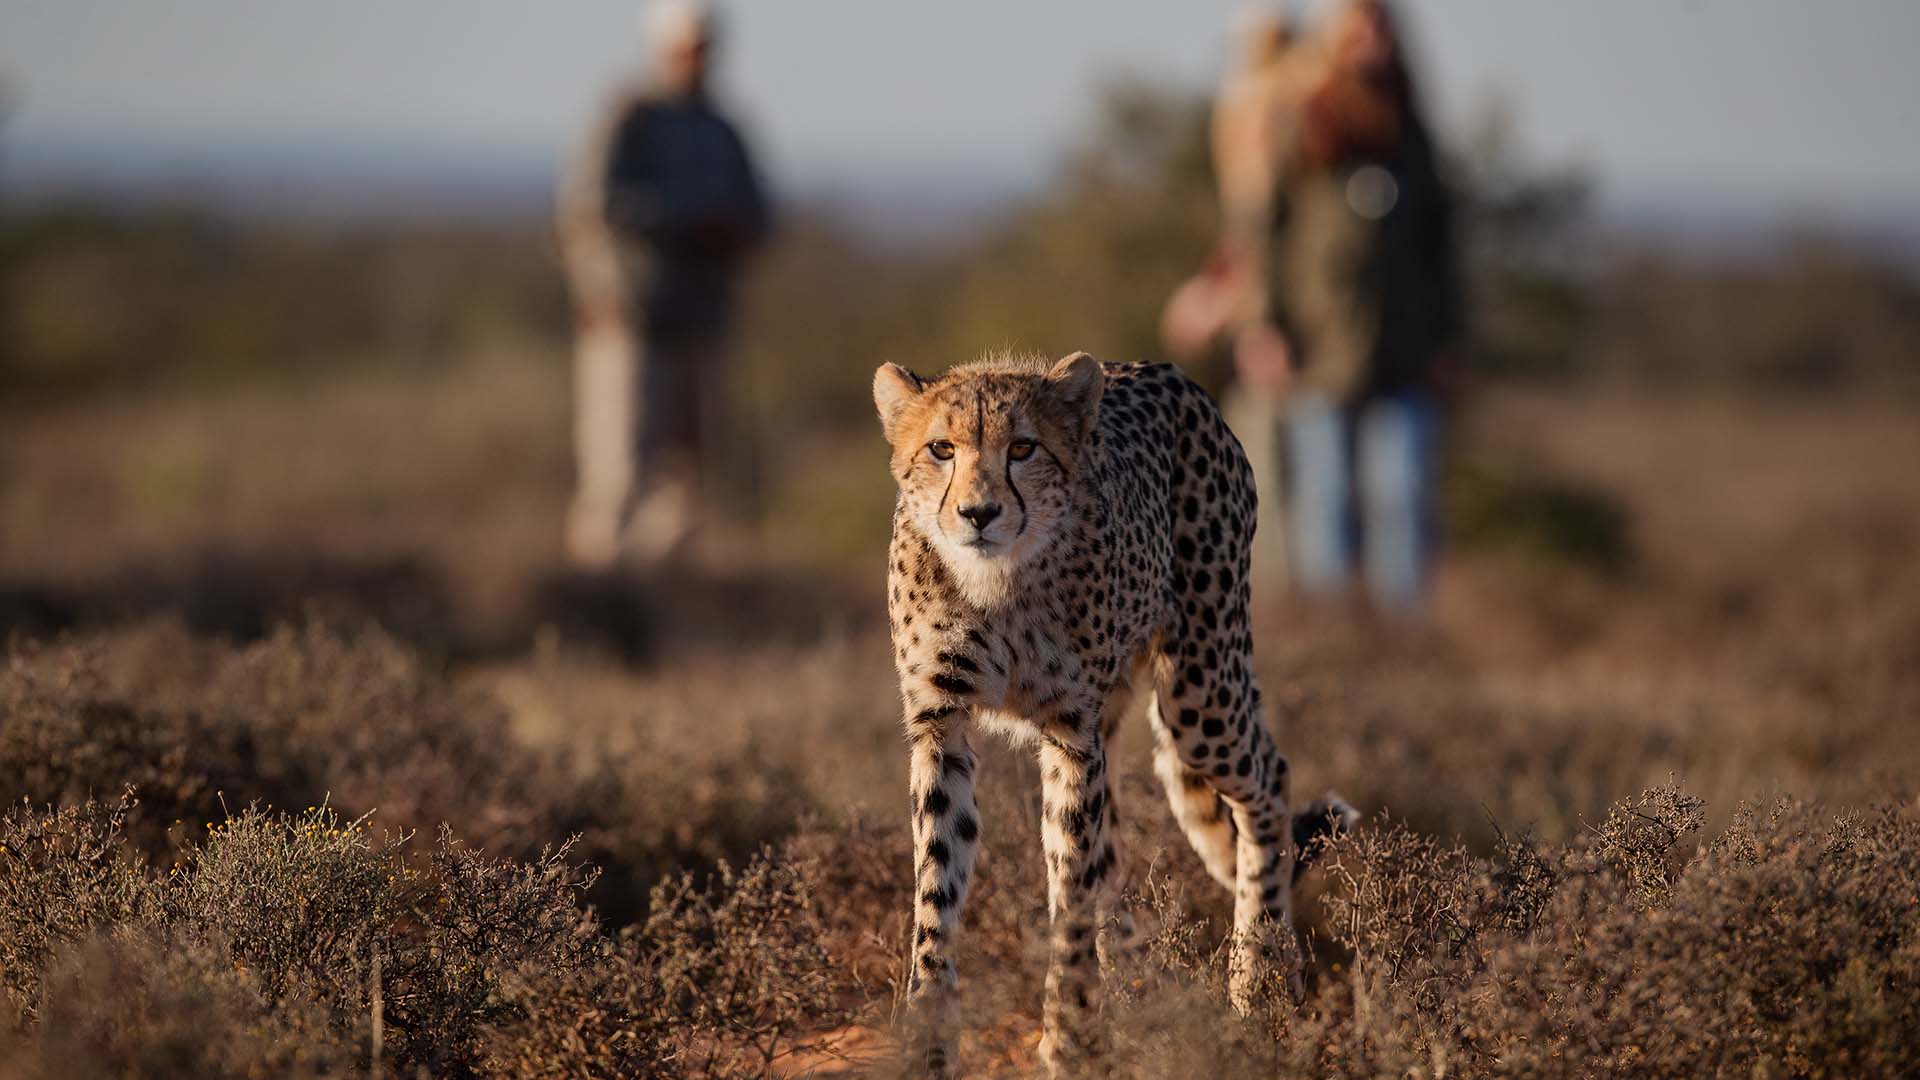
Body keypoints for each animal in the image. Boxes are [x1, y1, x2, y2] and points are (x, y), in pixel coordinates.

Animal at [871, 351, 1351, 1068]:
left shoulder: (1072, 731)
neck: (997, 580)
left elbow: (1071, 890)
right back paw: (1134, 990)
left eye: (1023, 448)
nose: (978, 513)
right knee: (1116, 854)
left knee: (1269, 780)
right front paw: (930, 1041)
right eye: (940, 449)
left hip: (1199, 690)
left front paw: (1070, 1038)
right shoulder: (942, 728)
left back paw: (1258, 977)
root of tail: (1164, 370)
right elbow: (938, 890)